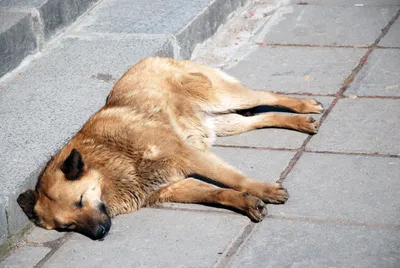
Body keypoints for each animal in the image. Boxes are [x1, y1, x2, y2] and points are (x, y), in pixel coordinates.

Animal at [17, 57, 324, 241]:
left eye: (80, 201)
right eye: (67, 226)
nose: (100, 232)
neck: (108, 163)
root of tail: (151, 58)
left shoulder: (187, 156)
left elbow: (233, 178)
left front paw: (264, 190)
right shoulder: (173, 187)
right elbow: (218, 192)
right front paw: (246, 202)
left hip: (222, 98)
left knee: (266, 95)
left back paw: (305, 106)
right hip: (223, 124)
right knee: (262, 117)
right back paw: (300, 122)